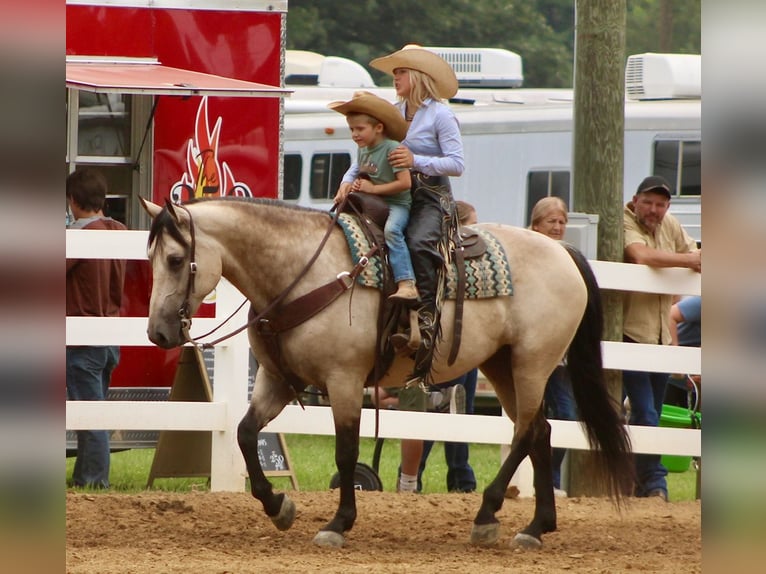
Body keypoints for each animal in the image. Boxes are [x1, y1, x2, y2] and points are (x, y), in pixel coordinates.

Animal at [141, 198, 632, 552]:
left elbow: (345, 452)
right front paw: (279, 506)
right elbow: (245, 434)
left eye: (175, 258)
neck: (302, 273)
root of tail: (564, 251)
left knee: (527, 432)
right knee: (540, 432)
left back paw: (488, 515)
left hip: (533, 363)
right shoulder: (277, 381)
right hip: (502, 364)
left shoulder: (343, 380)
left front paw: (338, 523)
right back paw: (535, 526)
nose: (158, 331)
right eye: (149, 258)